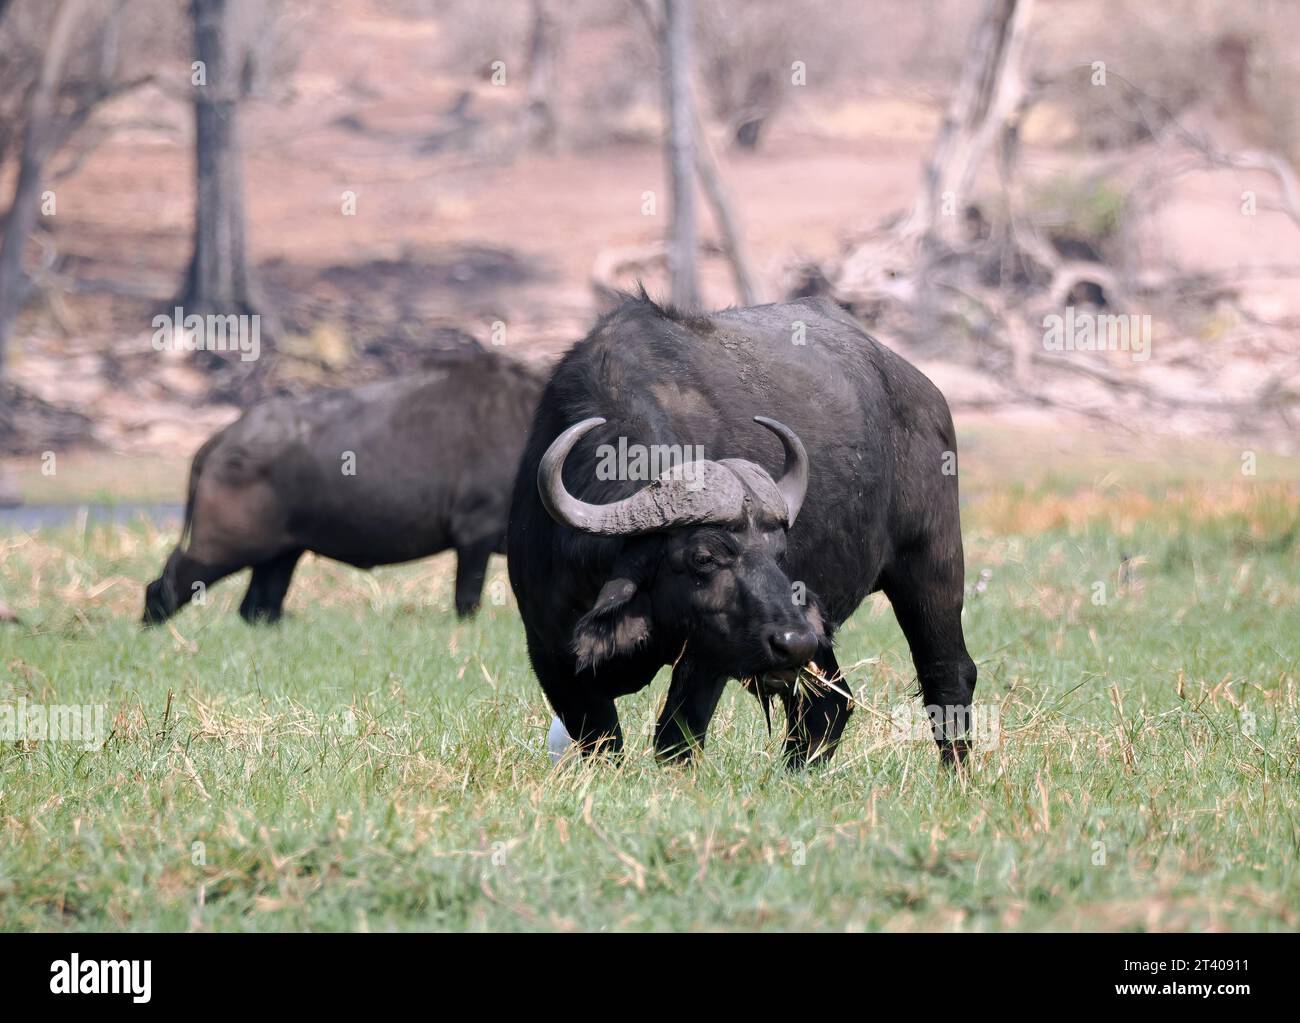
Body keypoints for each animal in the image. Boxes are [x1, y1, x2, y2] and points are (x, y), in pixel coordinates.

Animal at [144, 350, 546, 623]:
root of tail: (221, 440)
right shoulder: (474, 537)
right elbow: (467, 600)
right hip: (223, 547)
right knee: (168, 584)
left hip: (281, 555)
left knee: (259, 607)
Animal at [506, 293, 977, 769]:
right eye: (704, 557)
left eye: (778, 553)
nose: (793, 642)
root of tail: (924, 393)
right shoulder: (550, 653)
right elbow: (601, 741)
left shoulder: (708, 655)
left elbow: (676, 737)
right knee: (826, 703)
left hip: (928, 567)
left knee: (948, 675)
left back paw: (955, 773)